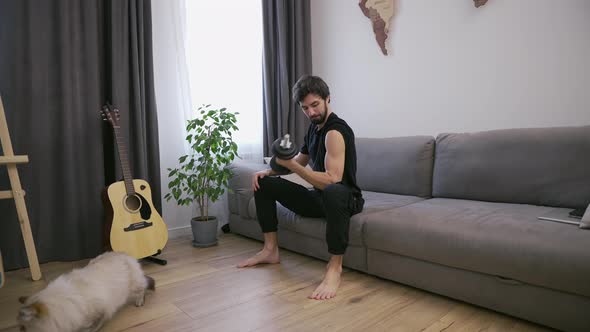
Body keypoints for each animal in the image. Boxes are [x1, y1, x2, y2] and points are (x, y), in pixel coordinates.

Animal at [18, 252, 156, 332]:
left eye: (23, 329)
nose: (20, 331)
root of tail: (127, 254)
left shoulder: (101, 312)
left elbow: (92, 327)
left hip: (134, 285)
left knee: (143, 289)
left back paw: (139, 302)